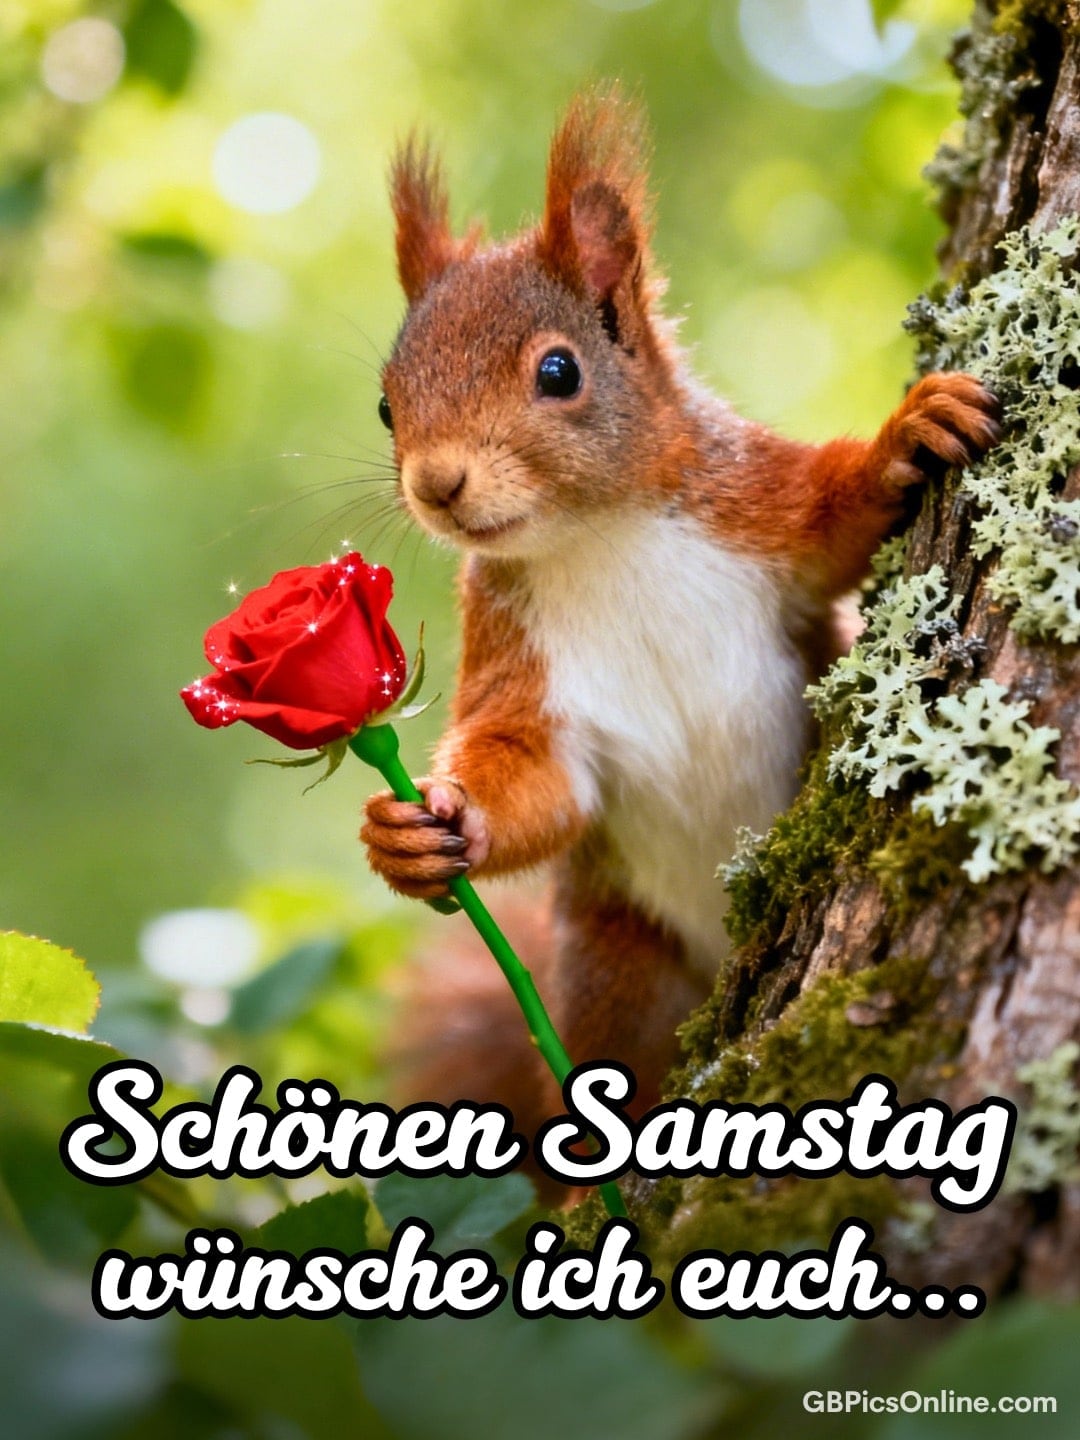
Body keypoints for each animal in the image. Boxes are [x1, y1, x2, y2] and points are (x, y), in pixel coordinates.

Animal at [360, 86, 1000, 1135]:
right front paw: (419, 832)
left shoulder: (757, 504)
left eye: (559, 372)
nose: (436, 485)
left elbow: (834, 515)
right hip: (617, 968)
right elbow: (532, 769)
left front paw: (907, 433)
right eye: (385, 405)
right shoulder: (513, 648)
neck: (599, 534)